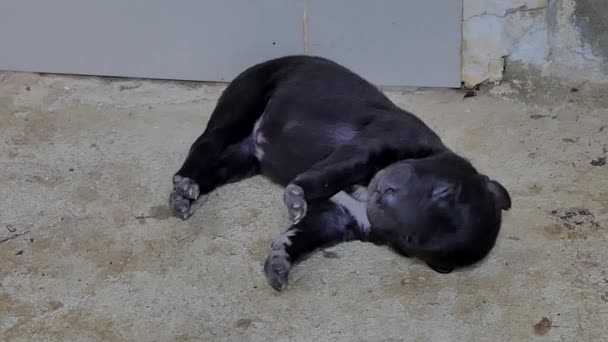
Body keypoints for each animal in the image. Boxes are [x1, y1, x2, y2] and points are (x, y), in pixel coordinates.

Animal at [169, 56, 510, 292]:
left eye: (412, 238)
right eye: (442, 191)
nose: (385, 198)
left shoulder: (336, 219)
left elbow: (297, 236)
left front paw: (280, 262)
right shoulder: (378, 140)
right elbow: (339, 167)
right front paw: (297, 194)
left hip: (243, 160)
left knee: (217, 167)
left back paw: (186, 191)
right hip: (244, 99)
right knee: (206, 143)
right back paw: (184, 185)